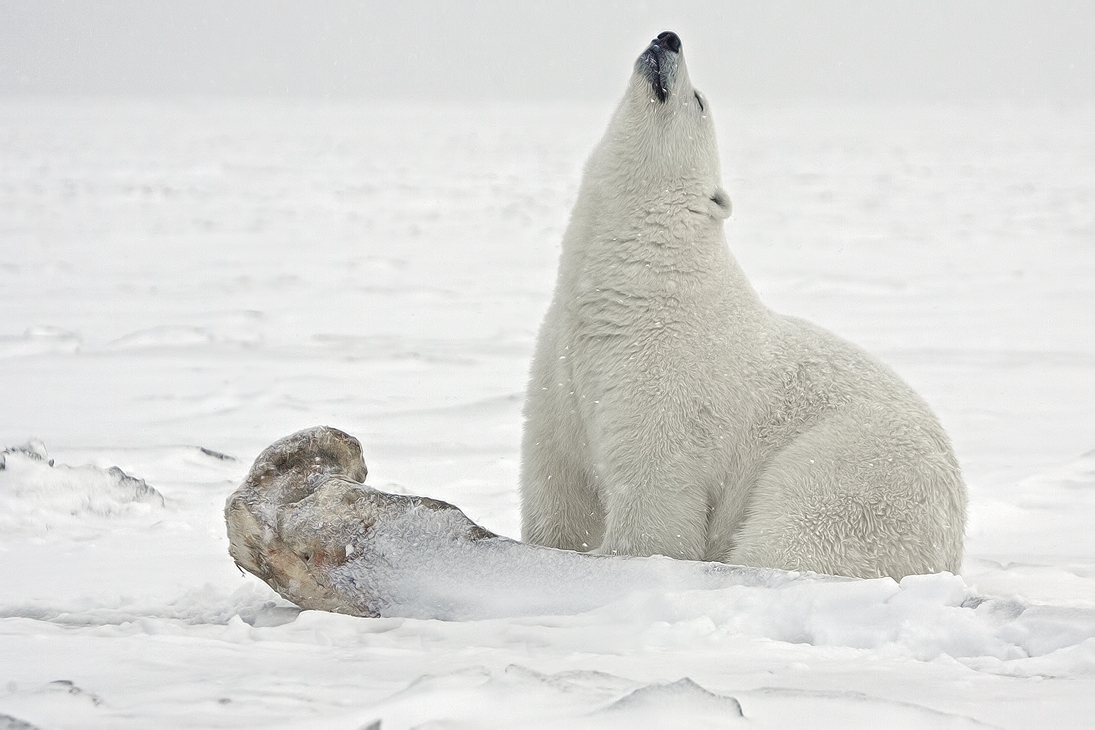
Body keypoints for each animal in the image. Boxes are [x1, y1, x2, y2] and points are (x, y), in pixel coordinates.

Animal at [521, 31, 967, 577]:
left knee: (799, 527)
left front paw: (623, 557)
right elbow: (556, 477)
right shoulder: (560, 362)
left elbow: (656, 495)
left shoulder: (668, 374)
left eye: (698, 100)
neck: (644, 276)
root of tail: (952, 548)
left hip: (861, 470)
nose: (668, 37)